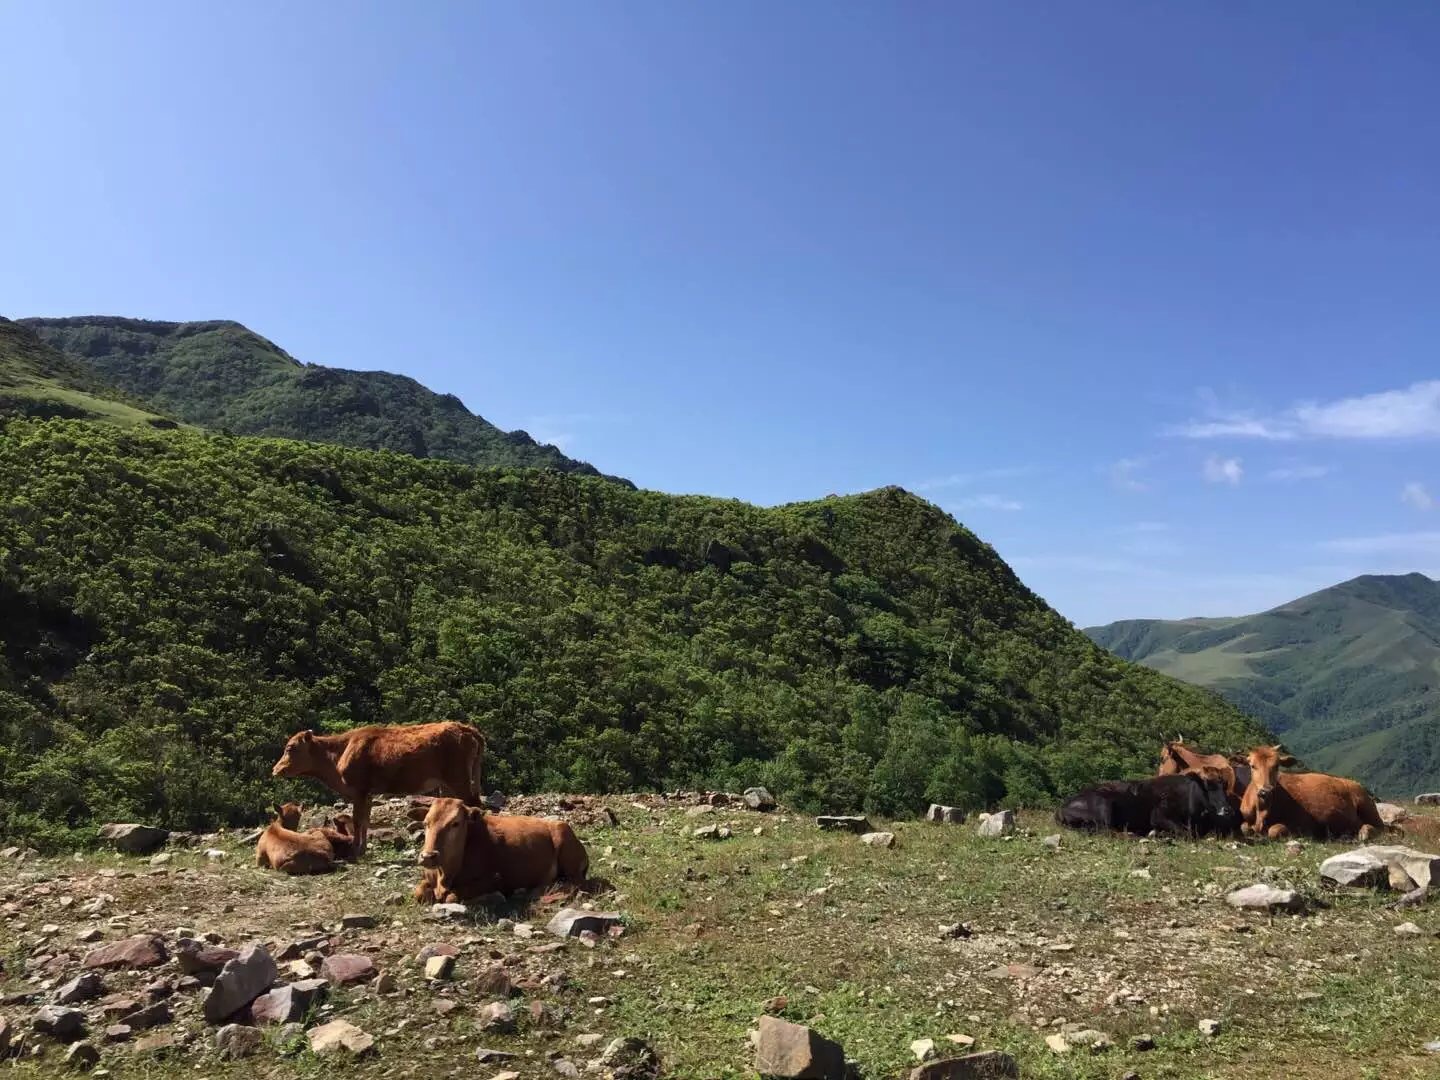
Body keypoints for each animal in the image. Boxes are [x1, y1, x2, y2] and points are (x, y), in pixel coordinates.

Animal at [272, 722, 486, 858]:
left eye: (290, 748)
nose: (275, 770)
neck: (339, 752)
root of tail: (466, 728)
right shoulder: (368, 793)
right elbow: (366, 820)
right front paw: (363, 848)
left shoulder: (359, 790)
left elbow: (357, 820)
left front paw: (355, 851)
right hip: (450, 783)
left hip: (459, 779)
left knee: (475, 806)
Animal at [414, 800, 587, 910]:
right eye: (425, 823)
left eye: (455, 823)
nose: (428, 856)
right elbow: (418, 893)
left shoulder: (495, 880)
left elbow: (452, 897)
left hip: (563, 838)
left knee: (575, 882)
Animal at [1059, 777, 1238, 835]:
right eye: (1210, 789)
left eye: (1225, 791)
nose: (1228, 809)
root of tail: (1061, 808)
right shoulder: (1159, 816)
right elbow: (1185, 833)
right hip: (1104, 806)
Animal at [1244, 743, 1388, 846]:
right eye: (1252, 766)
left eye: (1276, 766)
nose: (1265, 791)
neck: (1261, 811)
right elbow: (1245, 827)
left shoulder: (1299, 824)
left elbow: (1275, 830)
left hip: (1366, 805)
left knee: (1381, 828)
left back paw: (1364, 832)